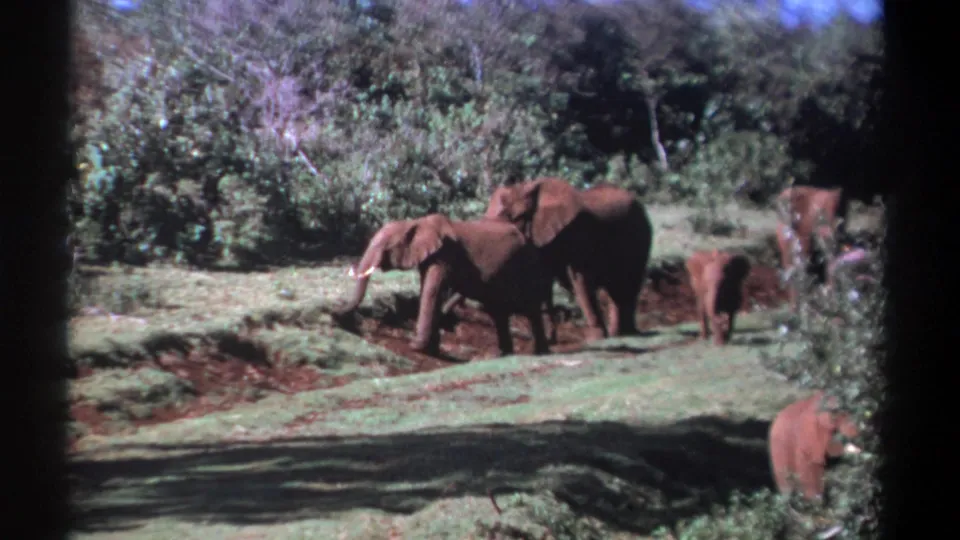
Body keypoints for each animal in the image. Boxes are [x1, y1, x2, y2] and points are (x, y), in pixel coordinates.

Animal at [335, 213, 553, 357]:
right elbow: (429, 290)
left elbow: (431, 290)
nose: (334, 309)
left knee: (529, 307)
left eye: (386, 248)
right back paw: (503, 354)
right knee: (499, 311)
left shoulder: (444, 255)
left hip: (525, 263)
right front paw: (431, 348)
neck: (415, 223)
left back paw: (540, 353)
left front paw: (416, 346)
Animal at [482, 177, 654, 342]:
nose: (553, 338)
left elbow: (580, 279)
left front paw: (594, 339)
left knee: (629, 282)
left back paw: (627, 333)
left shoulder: (577, 232)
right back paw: (619, 334)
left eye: (519, 217)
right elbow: (545, 280)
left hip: (640, 234)